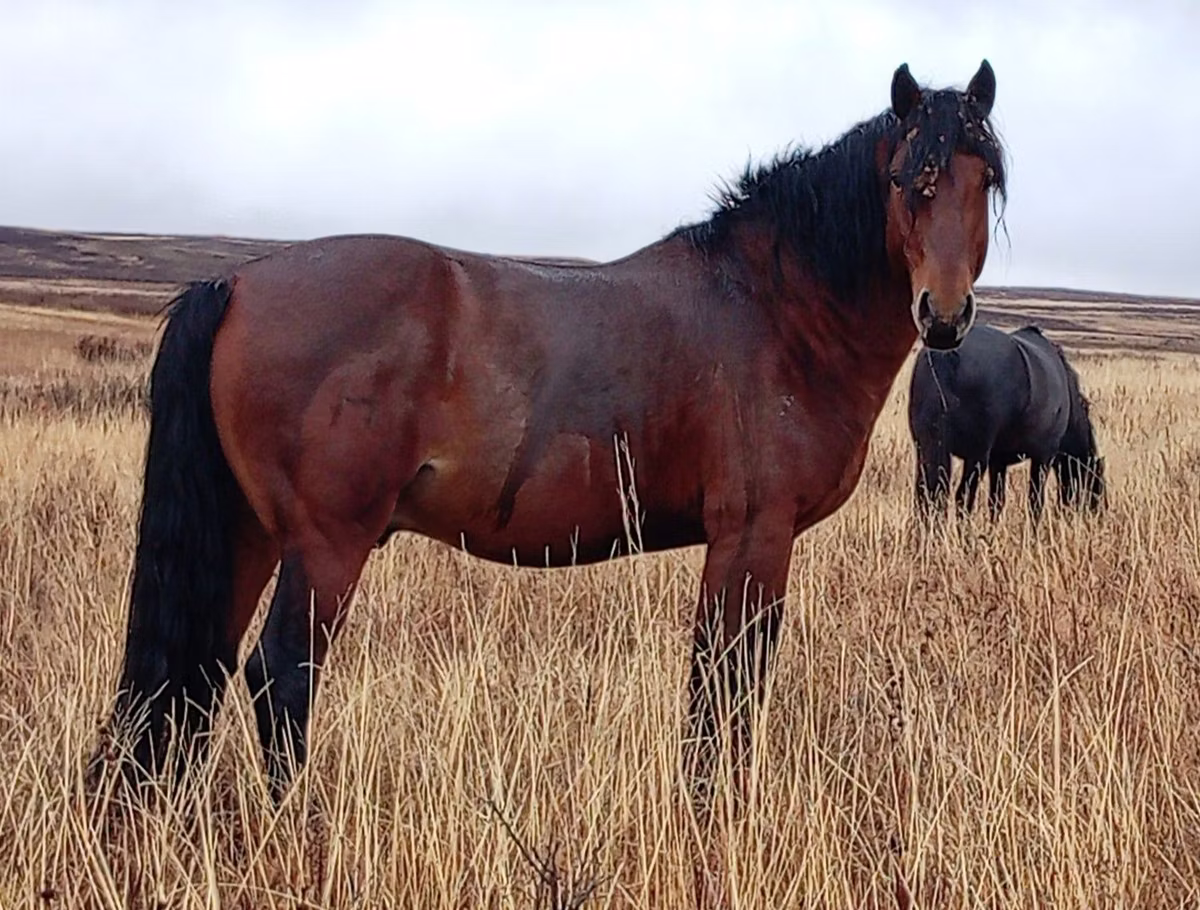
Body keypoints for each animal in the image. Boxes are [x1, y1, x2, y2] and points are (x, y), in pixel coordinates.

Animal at [87, 60, 1008, 804]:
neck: (777, 309)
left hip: (248, 534)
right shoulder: (752, 537)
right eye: (907, 178)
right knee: (278, 675)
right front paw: (712, 812)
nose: (945, 315)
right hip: (324, 545)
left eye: (986, 179)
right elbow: (722, 686)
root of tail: (237, 283)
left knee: (194, 672)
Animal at [908, 323, 1105, 525]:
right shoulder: (1044, 455)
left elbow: (996, 501)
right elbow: (1035, 502)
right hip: (976, 455)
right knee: (963, 496)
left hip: (927, 448)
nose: (1095, 519)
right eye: (1096, 488)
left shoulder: (998, 461)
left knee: (925, 494)